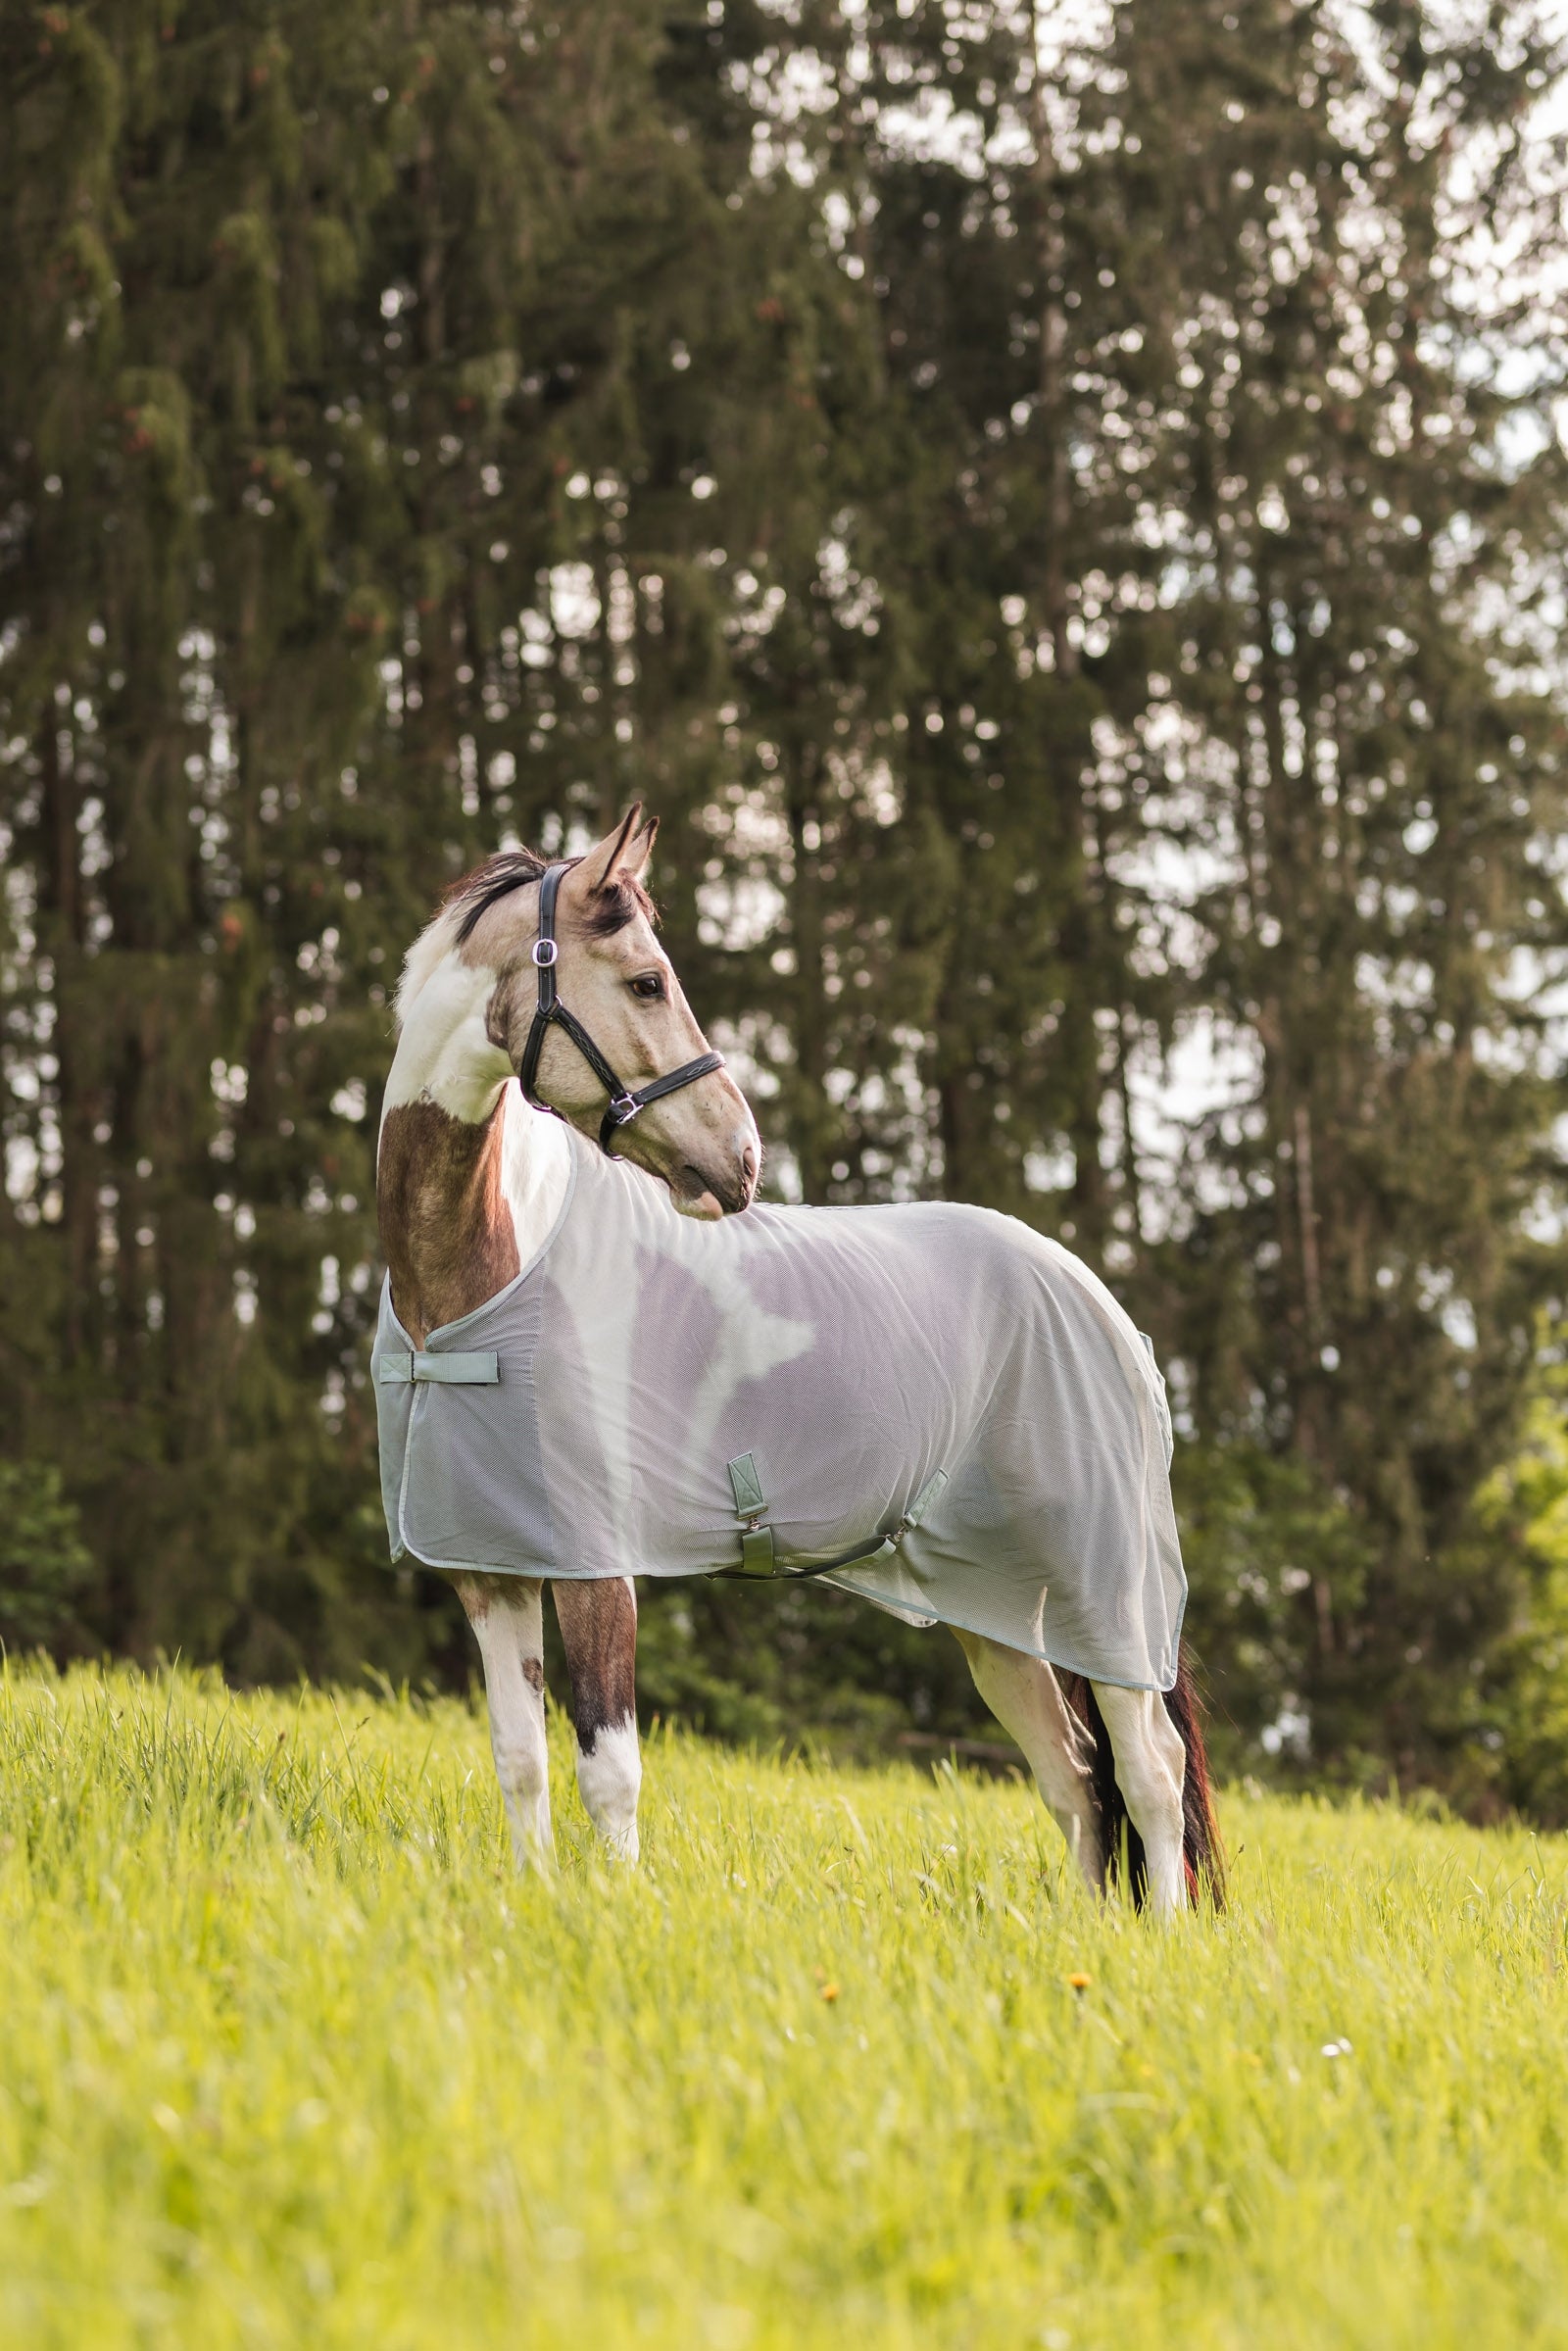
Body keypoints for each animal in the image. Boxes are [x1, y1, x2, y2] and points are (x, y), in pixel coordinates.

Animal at [374, 805, 1223, 1915]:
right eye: (645, 982)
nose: (740, 1159)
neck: (488, 1268)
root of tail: (1109, 1316)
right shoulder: (494, 1568)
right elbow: (521, 1760)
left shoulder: (596, 1567)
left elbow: (611, 1768)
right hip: (1001, 1616)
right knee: (1075, 1776)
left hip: (1105, 1590)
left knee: (1150, 1771)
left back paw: (1158, 1933)